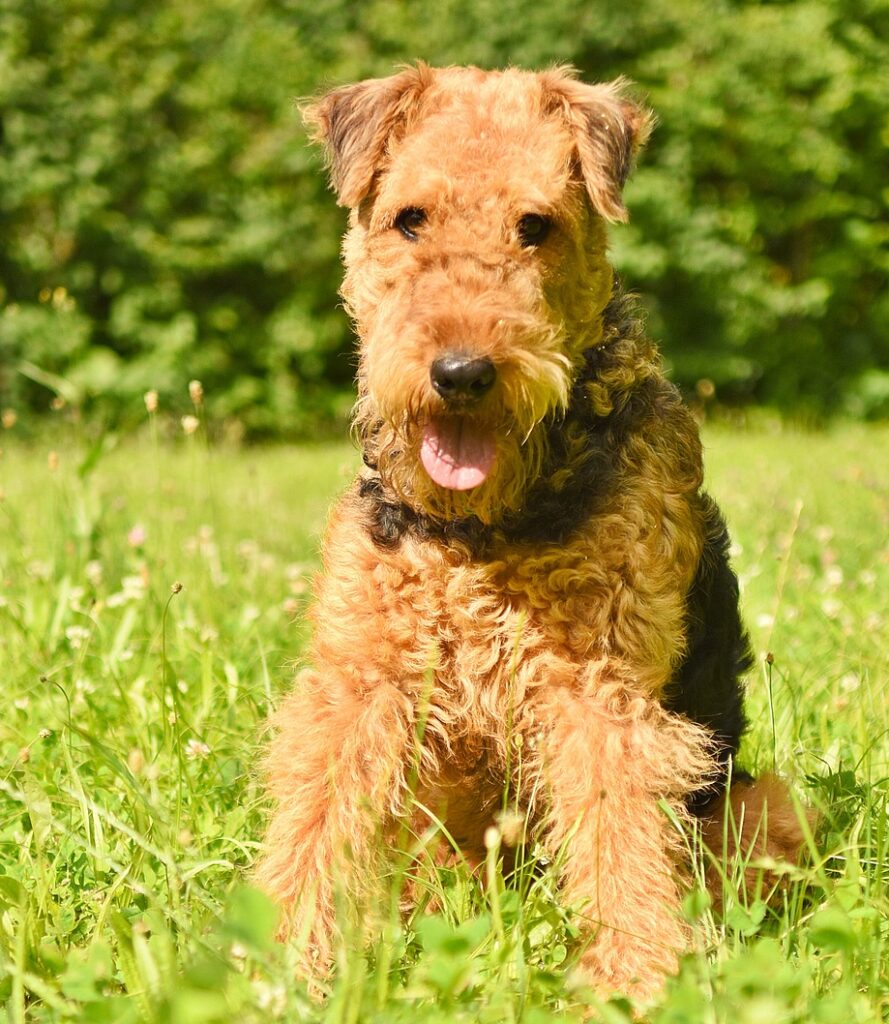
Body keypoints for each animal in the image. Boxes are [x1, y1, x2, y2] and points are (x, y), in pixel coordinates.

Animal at [255, 61, 807, 991]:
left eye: (535, 226)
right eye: (409, 218)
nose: (462, 373)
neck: (479, 529)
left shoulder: (599, 690)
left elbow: (618, 834)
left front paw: (633, 981)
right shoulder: (364, 675)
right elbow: (318, 816)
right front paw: (273, 962)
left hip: (761, 803)